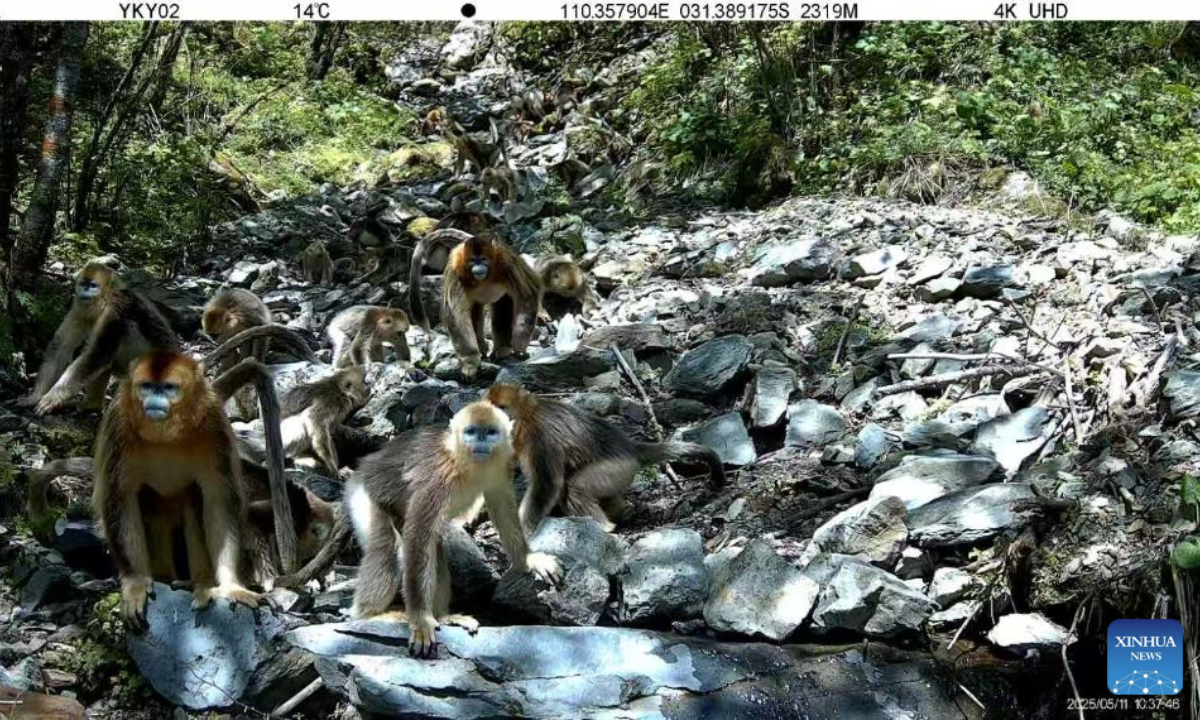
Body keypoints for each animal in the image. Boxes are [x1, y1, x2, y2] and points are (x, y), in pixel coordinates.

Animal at [24, 261, 179, 415]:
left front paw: (51, 398)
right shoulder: (80, 307)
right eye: (83, 284)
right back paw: (90, 406)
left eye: (93, 286)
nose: (85, 290)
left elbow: (97, 355)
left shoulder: (115, 309)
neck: (106, 299)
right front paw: (36, 395)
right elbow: (61, 345)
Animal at [93, 350, 263, 629]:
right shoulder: (117, 423)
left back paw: (199, 583)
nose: (154, 398)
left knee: (194, 495)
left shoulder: (214, 423)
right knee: (146, 496)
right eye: (147, 386)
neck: (166, 435)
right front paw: (136, 582)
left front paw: (231, 586)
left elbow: (218, 500)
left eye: (168, 388)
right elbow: (120, 498)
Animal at [346, 400, 562, 656]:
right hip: (361, 494)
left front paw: (528, 558)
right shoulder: (438, 477)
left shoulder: (500, 467)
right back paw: (369, 615)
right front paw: (420, 621)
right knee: (388, 549)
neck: (464, 461)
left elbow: (501, 506)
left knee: (433, 549)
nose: (480, 441)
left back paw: (442, 616)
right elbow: (417, 536)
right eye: (471, 432)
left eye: (490, 432)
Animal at [409, 234, 540, 378]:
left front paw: (519, 346)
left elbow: (527, 296)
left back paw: (502, 349)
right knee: (475, 314)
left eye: (483, 259)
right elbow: (457, 316)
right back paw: (483, 350)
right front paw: (470, 363)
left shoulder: (508, 263)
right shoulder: (456, 271)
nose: (478, 267)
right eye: (472, 260)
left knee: (503, 306)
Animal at [485, 384, 727, 534]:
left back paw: (606, 527)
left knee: (574, 487)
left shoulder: (538, 436)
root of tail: (631, 448)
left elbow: (547, 485)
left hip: (617, 469)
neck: (527, 415)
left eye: (501, 409)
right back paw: (622, 512)